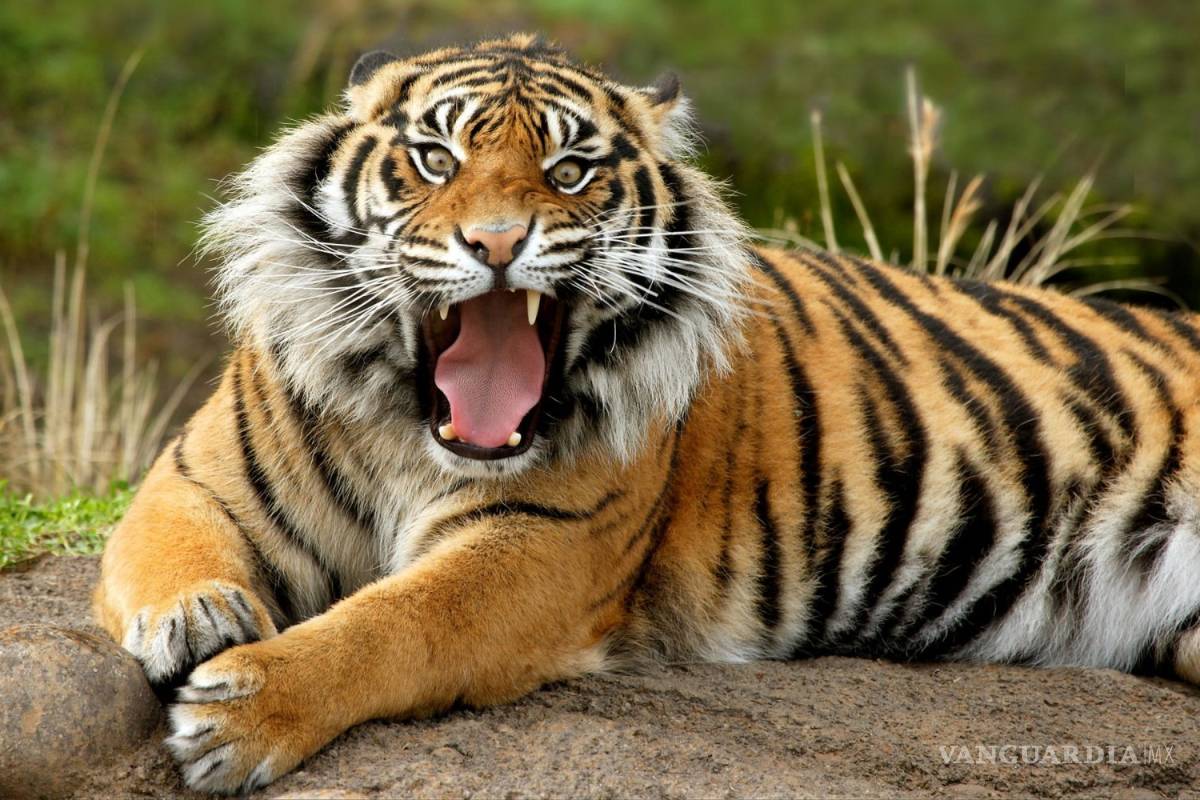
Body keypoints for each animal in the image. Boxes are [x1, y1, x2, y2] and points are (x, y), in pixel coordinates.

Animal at [92, 33, 1200, 794]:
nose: (499, 243)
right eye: (437, 160)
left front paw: (243, 713)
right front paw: (199, 618)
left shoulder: (540, 546)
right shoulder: (194, 476)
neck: (410, 426)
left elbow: (394, 621)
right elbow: (167, 550)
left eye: (569, 171)